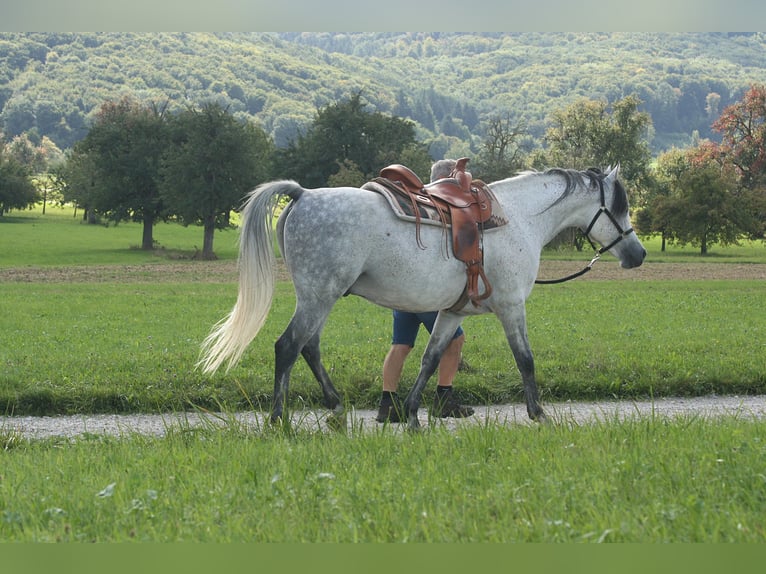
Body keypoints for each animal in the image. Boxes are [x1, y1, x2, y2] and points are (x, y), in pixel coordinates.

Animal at [198, 165, 646, 430]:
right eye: (620, 207)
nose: (638, 254)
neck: (518, 218)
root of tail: (303, 194)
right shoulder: (510, 306)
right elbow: (526, 360)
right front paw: (539, 414)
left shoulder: (451, 312)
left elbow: (430, 360)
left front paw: (412, 414)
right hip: (318, 296)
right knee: (288, 346)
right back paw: (279, 419)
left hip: (320, 298)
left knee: (309, 347)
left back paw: (336, 407)